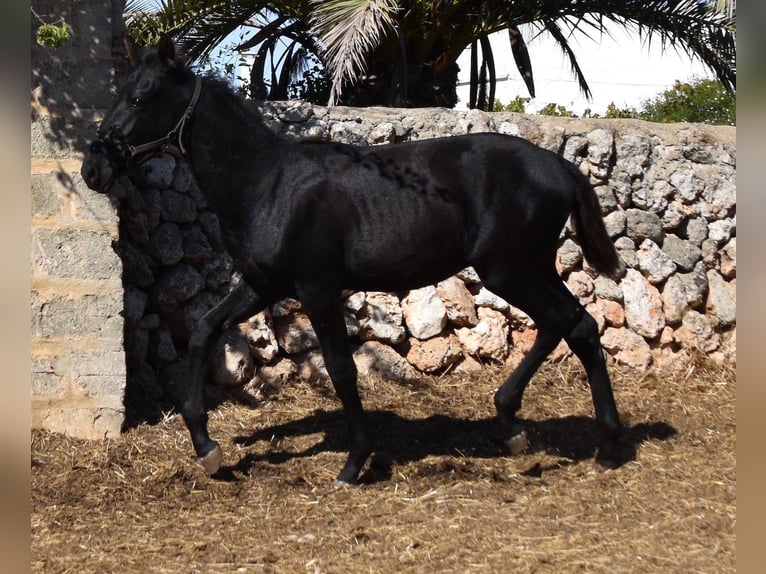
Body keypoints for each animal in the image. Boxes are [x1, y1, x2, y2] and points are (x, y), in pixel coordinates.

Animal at [81, 36, 628, 486]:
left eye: (139, 97)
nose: (94, 168)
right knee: (572, 326)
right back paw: (537, 429)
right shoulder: (262, 285)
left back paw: (589, 441)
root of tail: (558, 165)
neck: (267, 185)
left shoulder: (317, 288)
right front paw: (207, 448)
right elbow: (201, 332)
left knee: (573, 326)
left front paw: (354, 462)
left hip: (511, 270)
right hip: (529, 270)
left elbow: (341, 369)